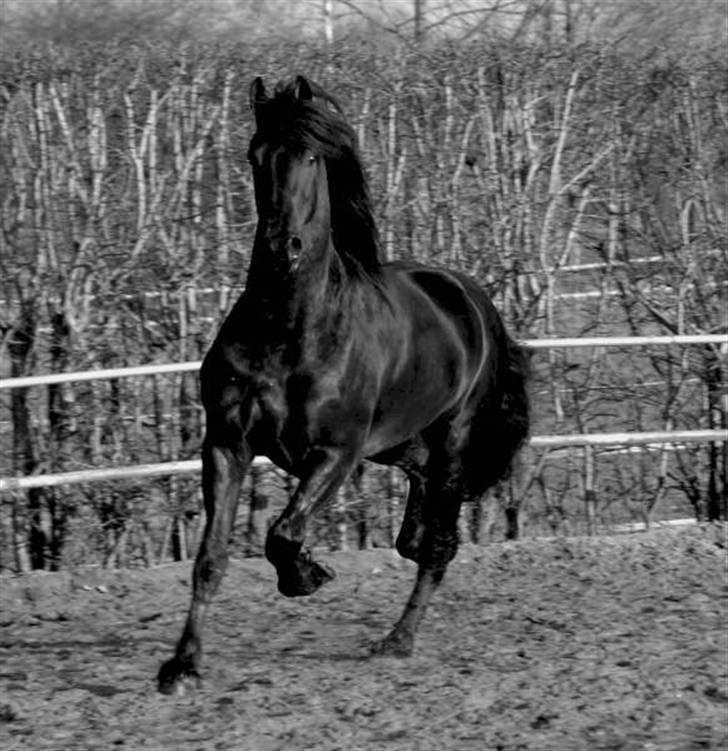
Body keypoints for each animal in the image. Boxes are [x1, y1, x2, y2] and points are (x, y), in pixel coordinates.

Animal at [156, 76, 528, 692]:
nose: (281, 248)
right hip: (402, 443)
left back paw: (397, 640)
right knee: (419, 525)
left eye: (311, 156)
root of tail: (468, 295)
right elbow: (210, 558)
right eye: (255, 156)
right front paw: (182, 666)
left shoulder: (336, 452)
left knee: (437, 549)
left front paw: (308, 575)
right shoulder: (227, 445)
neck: (288, 329)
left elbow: (283, 533)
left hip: (451, 440)